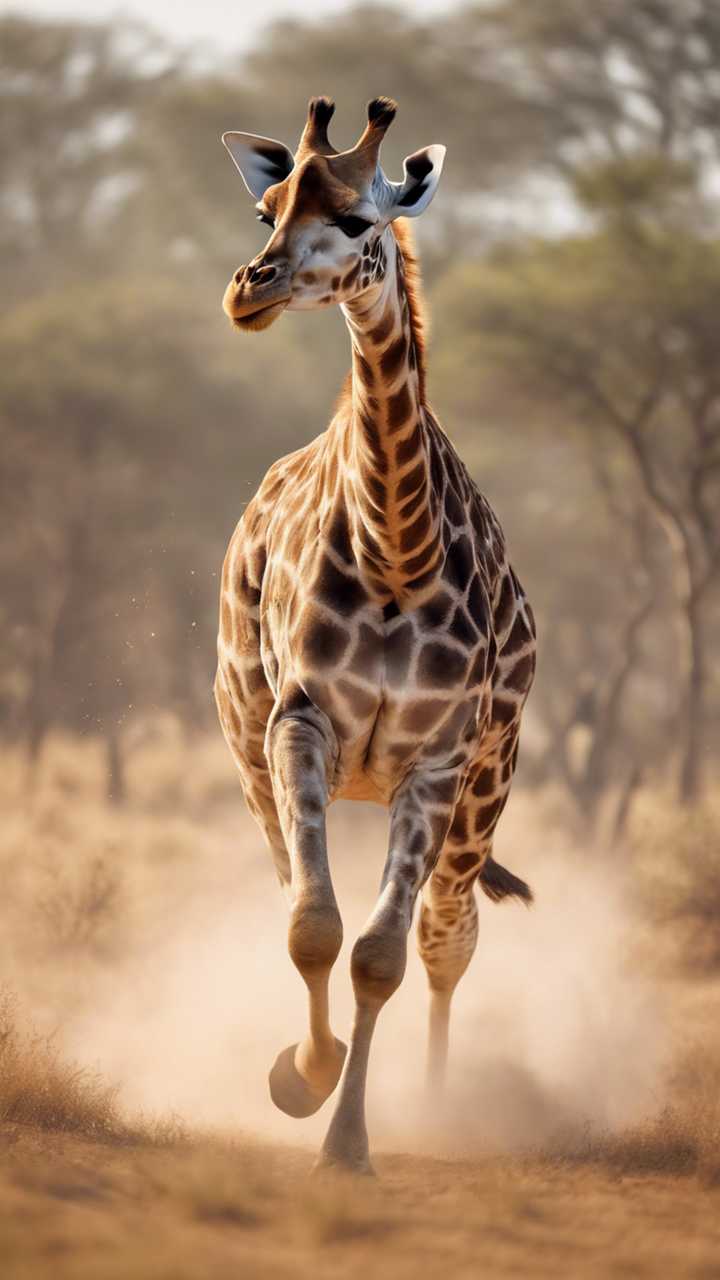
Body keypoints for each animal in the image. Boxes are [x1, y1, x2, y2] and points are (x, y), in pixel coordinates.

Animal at [215, 96, 536, 1173]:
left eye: (358, 219)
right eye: (268, 208)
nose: (250, 288)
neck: (398, 550)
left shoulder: (438, 760)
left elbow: (386, 954)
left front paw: (353, 1140)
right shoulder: (299, 724)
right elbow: (315, 925)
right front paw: (300, 1079)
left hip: (487, 785)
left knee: (450, 932)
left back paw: (438, 1101)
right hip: (246, 740)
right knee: (293, 886)